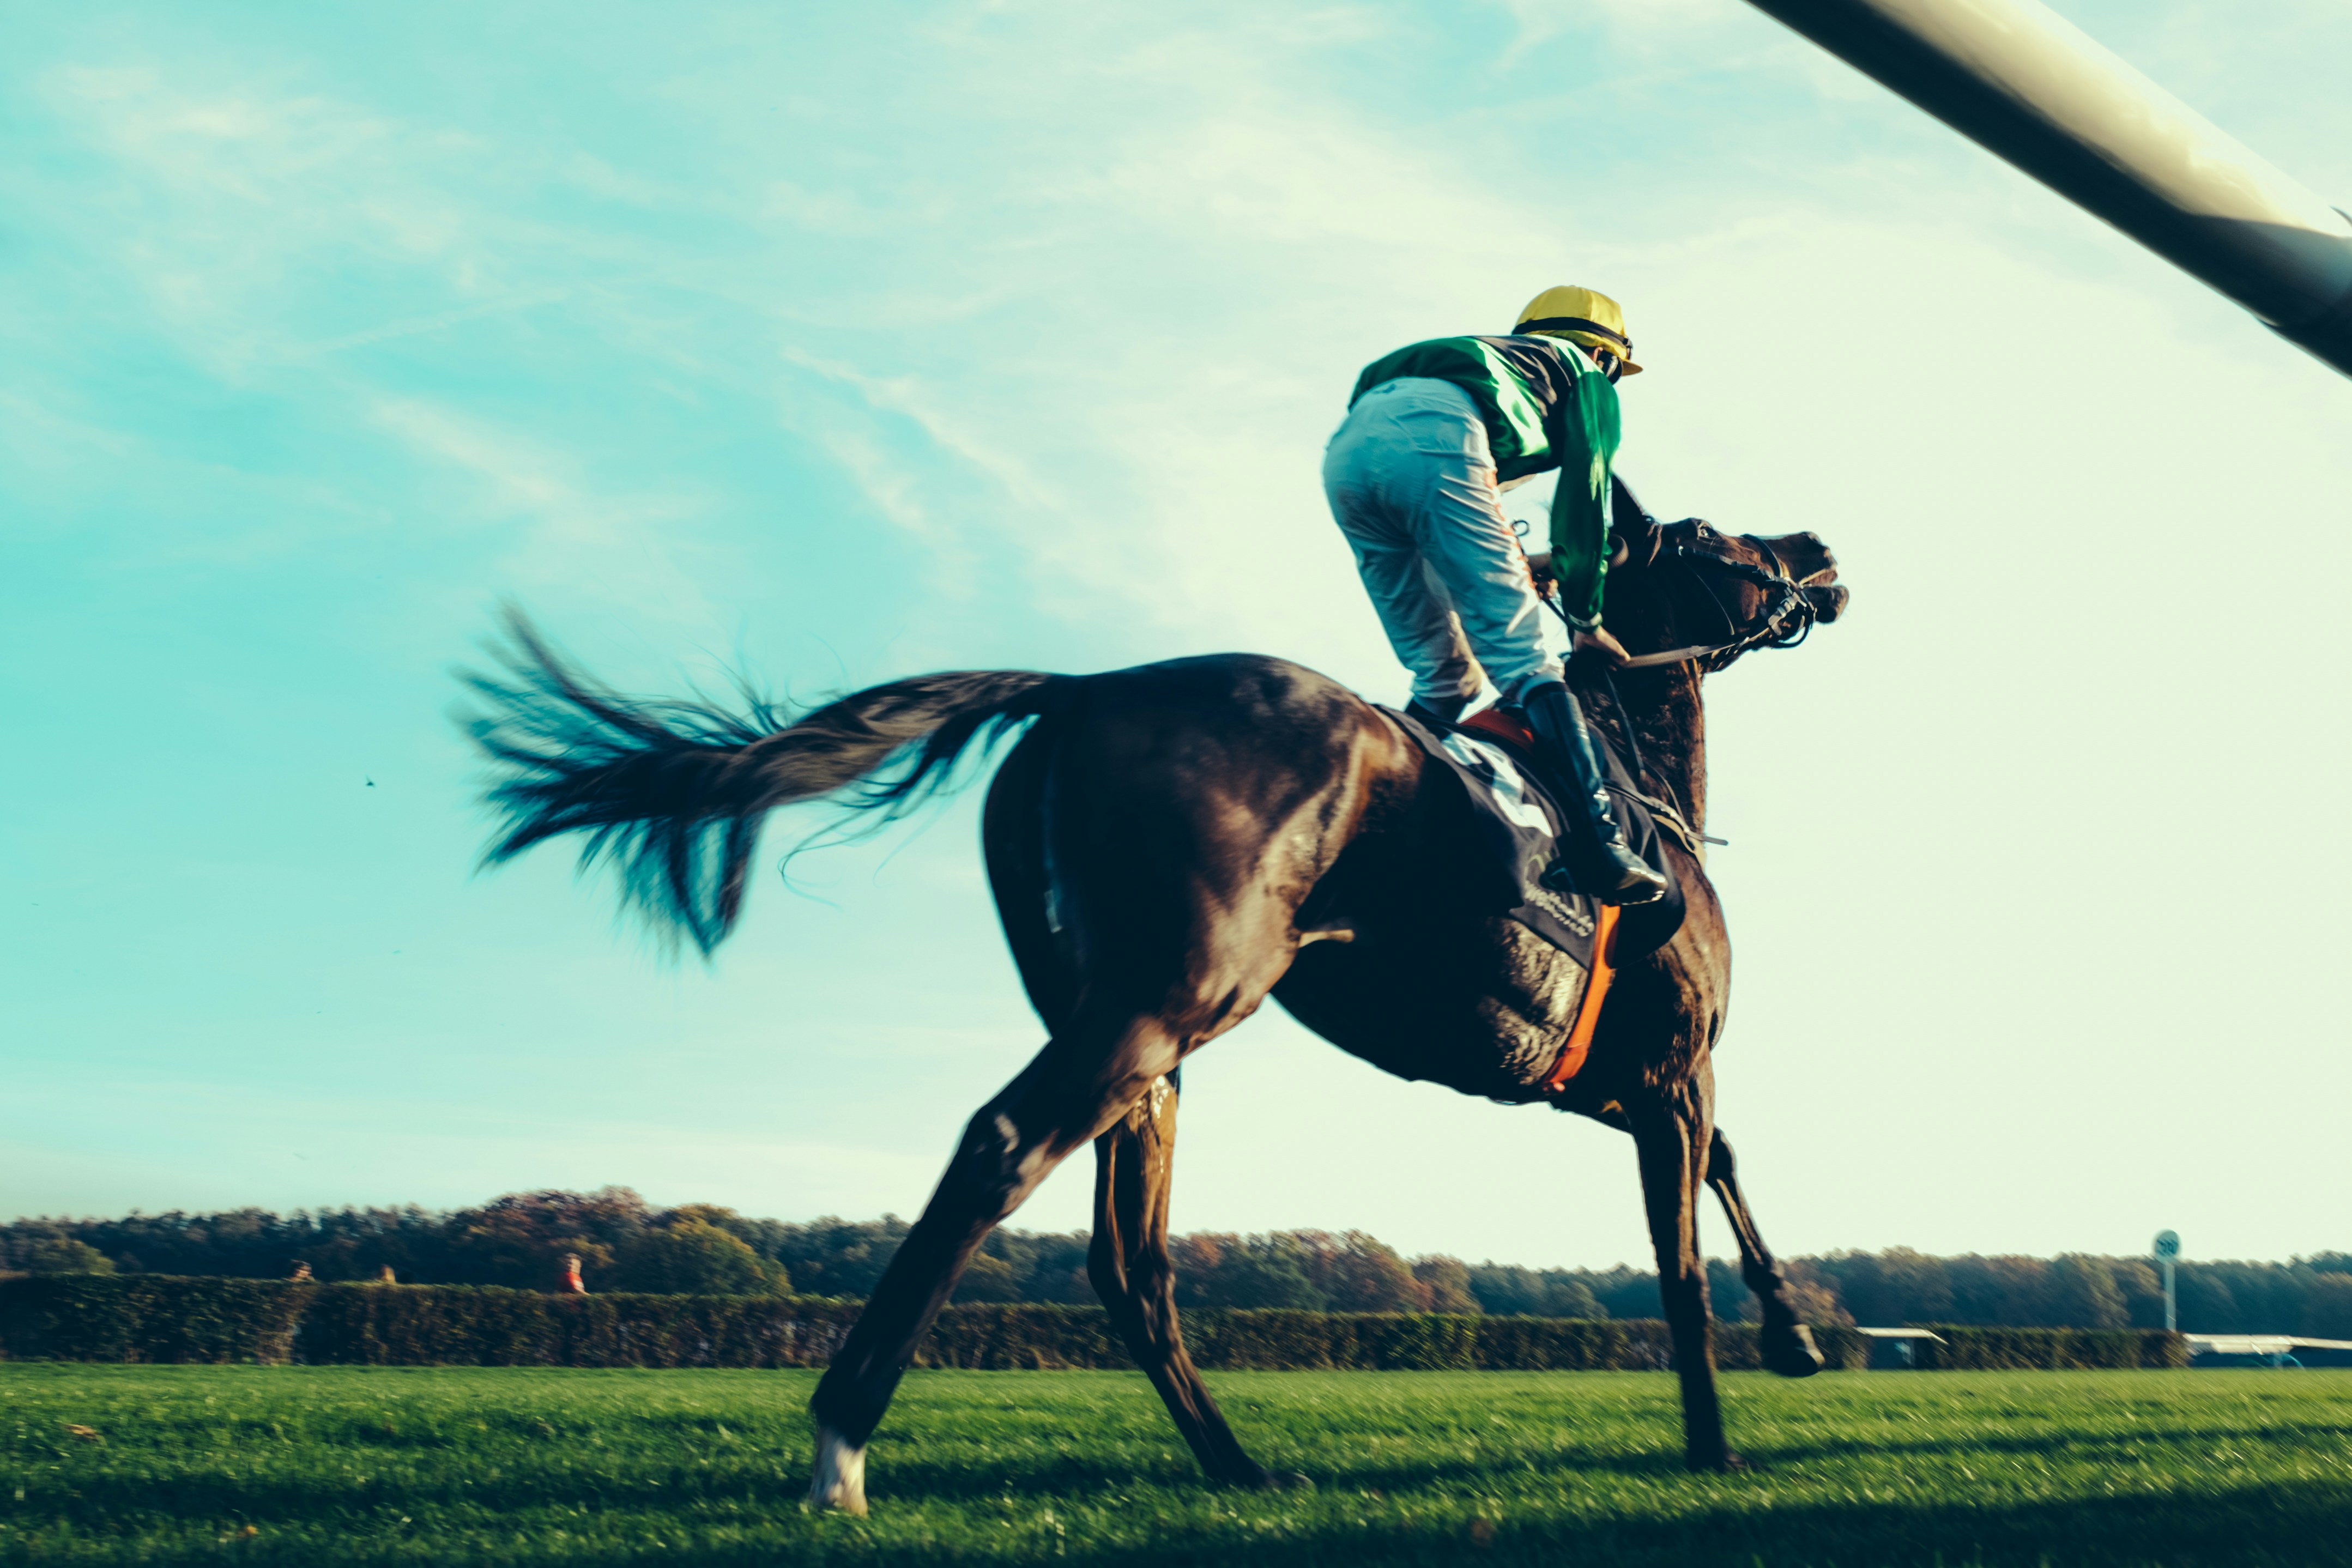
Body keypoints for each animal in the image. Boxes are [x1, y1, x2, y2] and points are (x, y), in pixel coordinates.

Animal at [462, 499, 1848, 1512]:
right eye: (1722, 540)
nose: (1819, 553)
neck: (1636, 787)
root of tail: (1077, 689)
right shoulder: (1668, 1068)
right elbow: (1681, 1254)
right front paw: (1720, 1434)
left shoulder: (1593, 1084)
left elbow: (1723, 1168)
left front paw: (1795, 1333)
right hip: (1169, 1001)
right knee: (1003, 1152)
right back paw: (840, 1449)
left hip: (1141, 1035)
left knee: (1130, 1258)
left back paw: (1234, 1463)